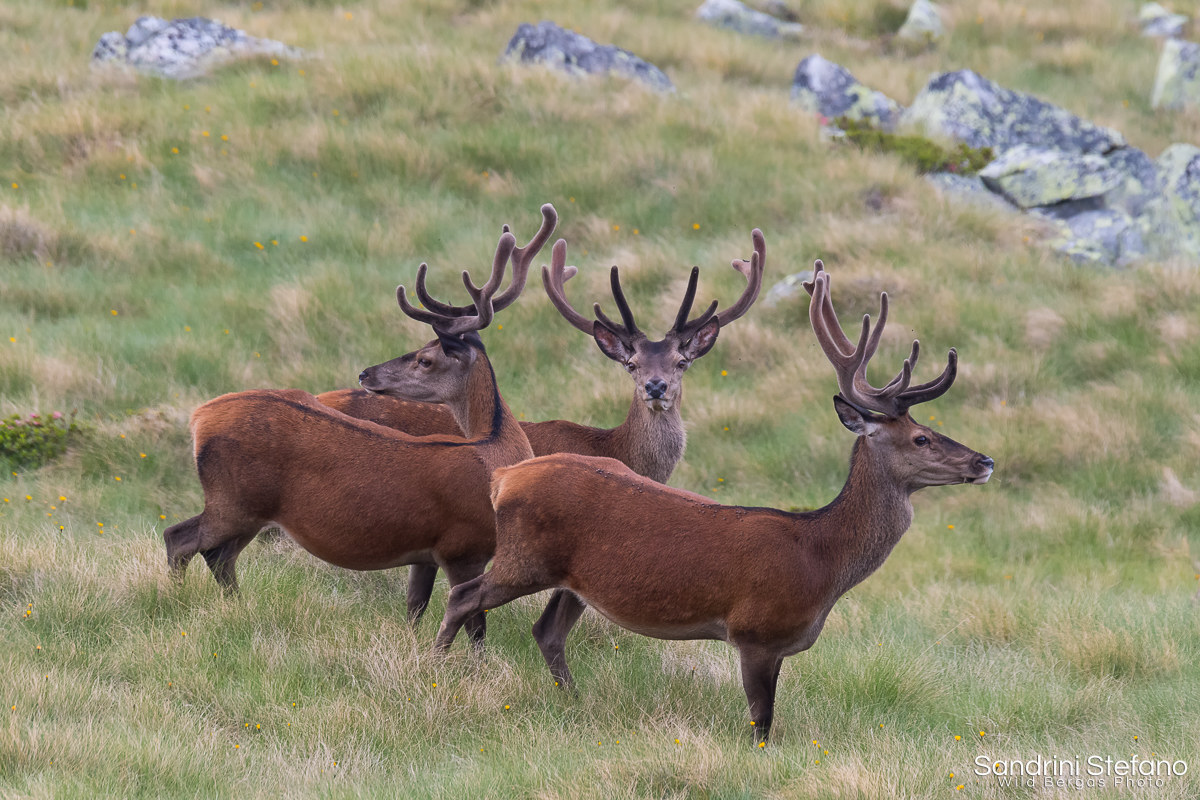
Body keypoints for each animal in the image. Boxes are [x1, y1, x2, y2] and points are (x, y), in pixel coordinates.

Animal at [162, 209, 546, 645]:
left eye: (425, 359)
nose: (366, 373)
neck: (495, 455)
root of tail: (199, 417)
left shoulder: (426, 552)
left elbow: (415, 606)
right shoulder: (461, 546)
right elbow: (476, 625)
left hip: (247, 510)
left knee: (218, 556)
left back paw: (237, 608)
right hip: (233, 499)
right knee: (179, 539)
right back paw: (179, 602)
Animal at [431, 260, 994, 744]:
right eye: (921, 438)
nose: (984, 460)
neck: (821, 559)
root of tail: (504, 477)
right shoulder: (755, 632)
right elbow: (761, 722)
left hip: (573, 580)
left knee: (546, 630)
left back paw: (571, 699)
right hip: (523, 557)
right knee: (463, 596)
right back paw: (434, 666)